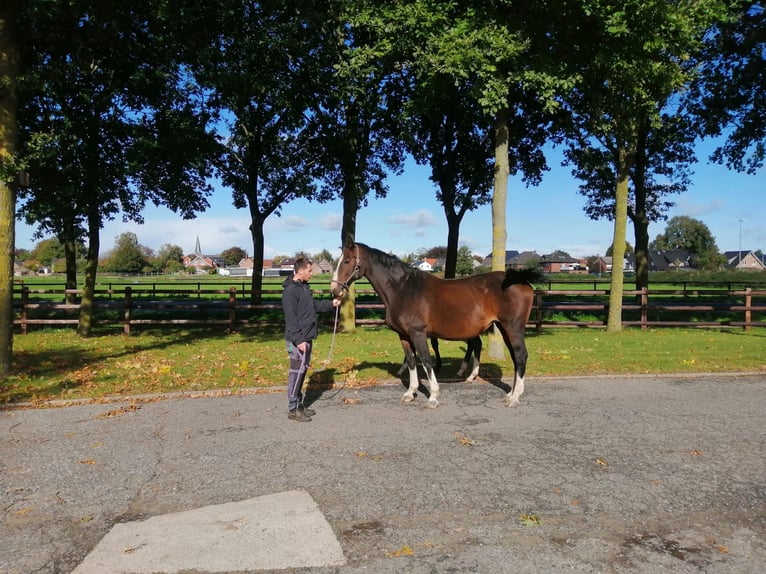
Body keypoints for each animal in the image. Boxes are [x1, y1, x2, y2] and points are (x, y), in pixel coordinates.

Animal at [332, 243, 544, 410]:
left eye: (347, 261)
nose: (334, 290)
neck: (402, 289)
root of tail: (521, 280)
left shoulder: (418, 333)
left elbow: (426, 360)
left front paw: (433, 396)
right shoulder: (404, 335)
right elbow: (411, 361)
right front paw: (410, 393)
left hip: (513, 329)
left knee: (520, 356)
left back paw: (514, 398)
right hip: (503, 328)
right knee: (514, 358)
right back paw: (509, 393)